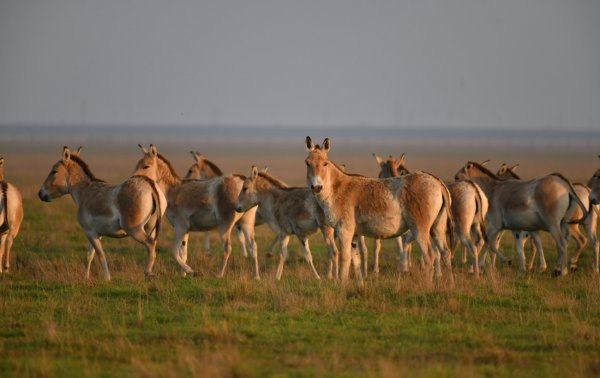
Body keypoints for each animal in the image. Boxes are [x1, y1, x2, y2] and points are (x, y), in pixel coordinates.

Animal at [38, 146, 165, 280]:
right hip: (150, 227)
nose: (40, 194)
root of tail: (149, 185)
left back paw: (147, 274)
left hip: (134, 229)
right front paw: (86, 278)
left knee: (150, 245)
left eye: (54, 171)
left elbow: (100, 255)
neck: (84, 192)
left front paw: (107, 279)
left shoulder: (89, 232)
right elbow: (89, 255)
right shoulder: (96, 233)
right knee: (153, 245)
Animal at [132, 144, 258, 278]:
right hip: (246, 222)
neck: (172, 191)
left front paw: (191, 272)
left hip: (225, 224)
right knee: (253, 246)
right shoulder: (186, 230)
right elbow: (183, 253)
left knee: (227, 248)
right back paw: (256, 276)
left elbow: (174, 251)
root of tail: (242, 179)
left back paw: (219, 275)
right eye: (137, 164)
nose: (133, 178)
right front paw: (183, 276)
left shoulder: (180, 226)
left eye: (146, 166)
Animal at [308, 137, 452, 284]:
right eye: (307, 163)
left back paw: (426, 286)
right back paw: (449, 285)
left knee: (429, 255)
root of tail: (437, 182)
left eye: (325, 164)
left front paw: (342, 285)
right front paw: (360, 284)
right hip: (437, 228)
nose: (316, 187)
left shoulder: (344, 230)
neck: (337, 188)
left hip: (420, 228)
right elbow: (356, 260)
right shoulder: (354, 234)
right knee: (446, 253)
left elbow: (345, 258)